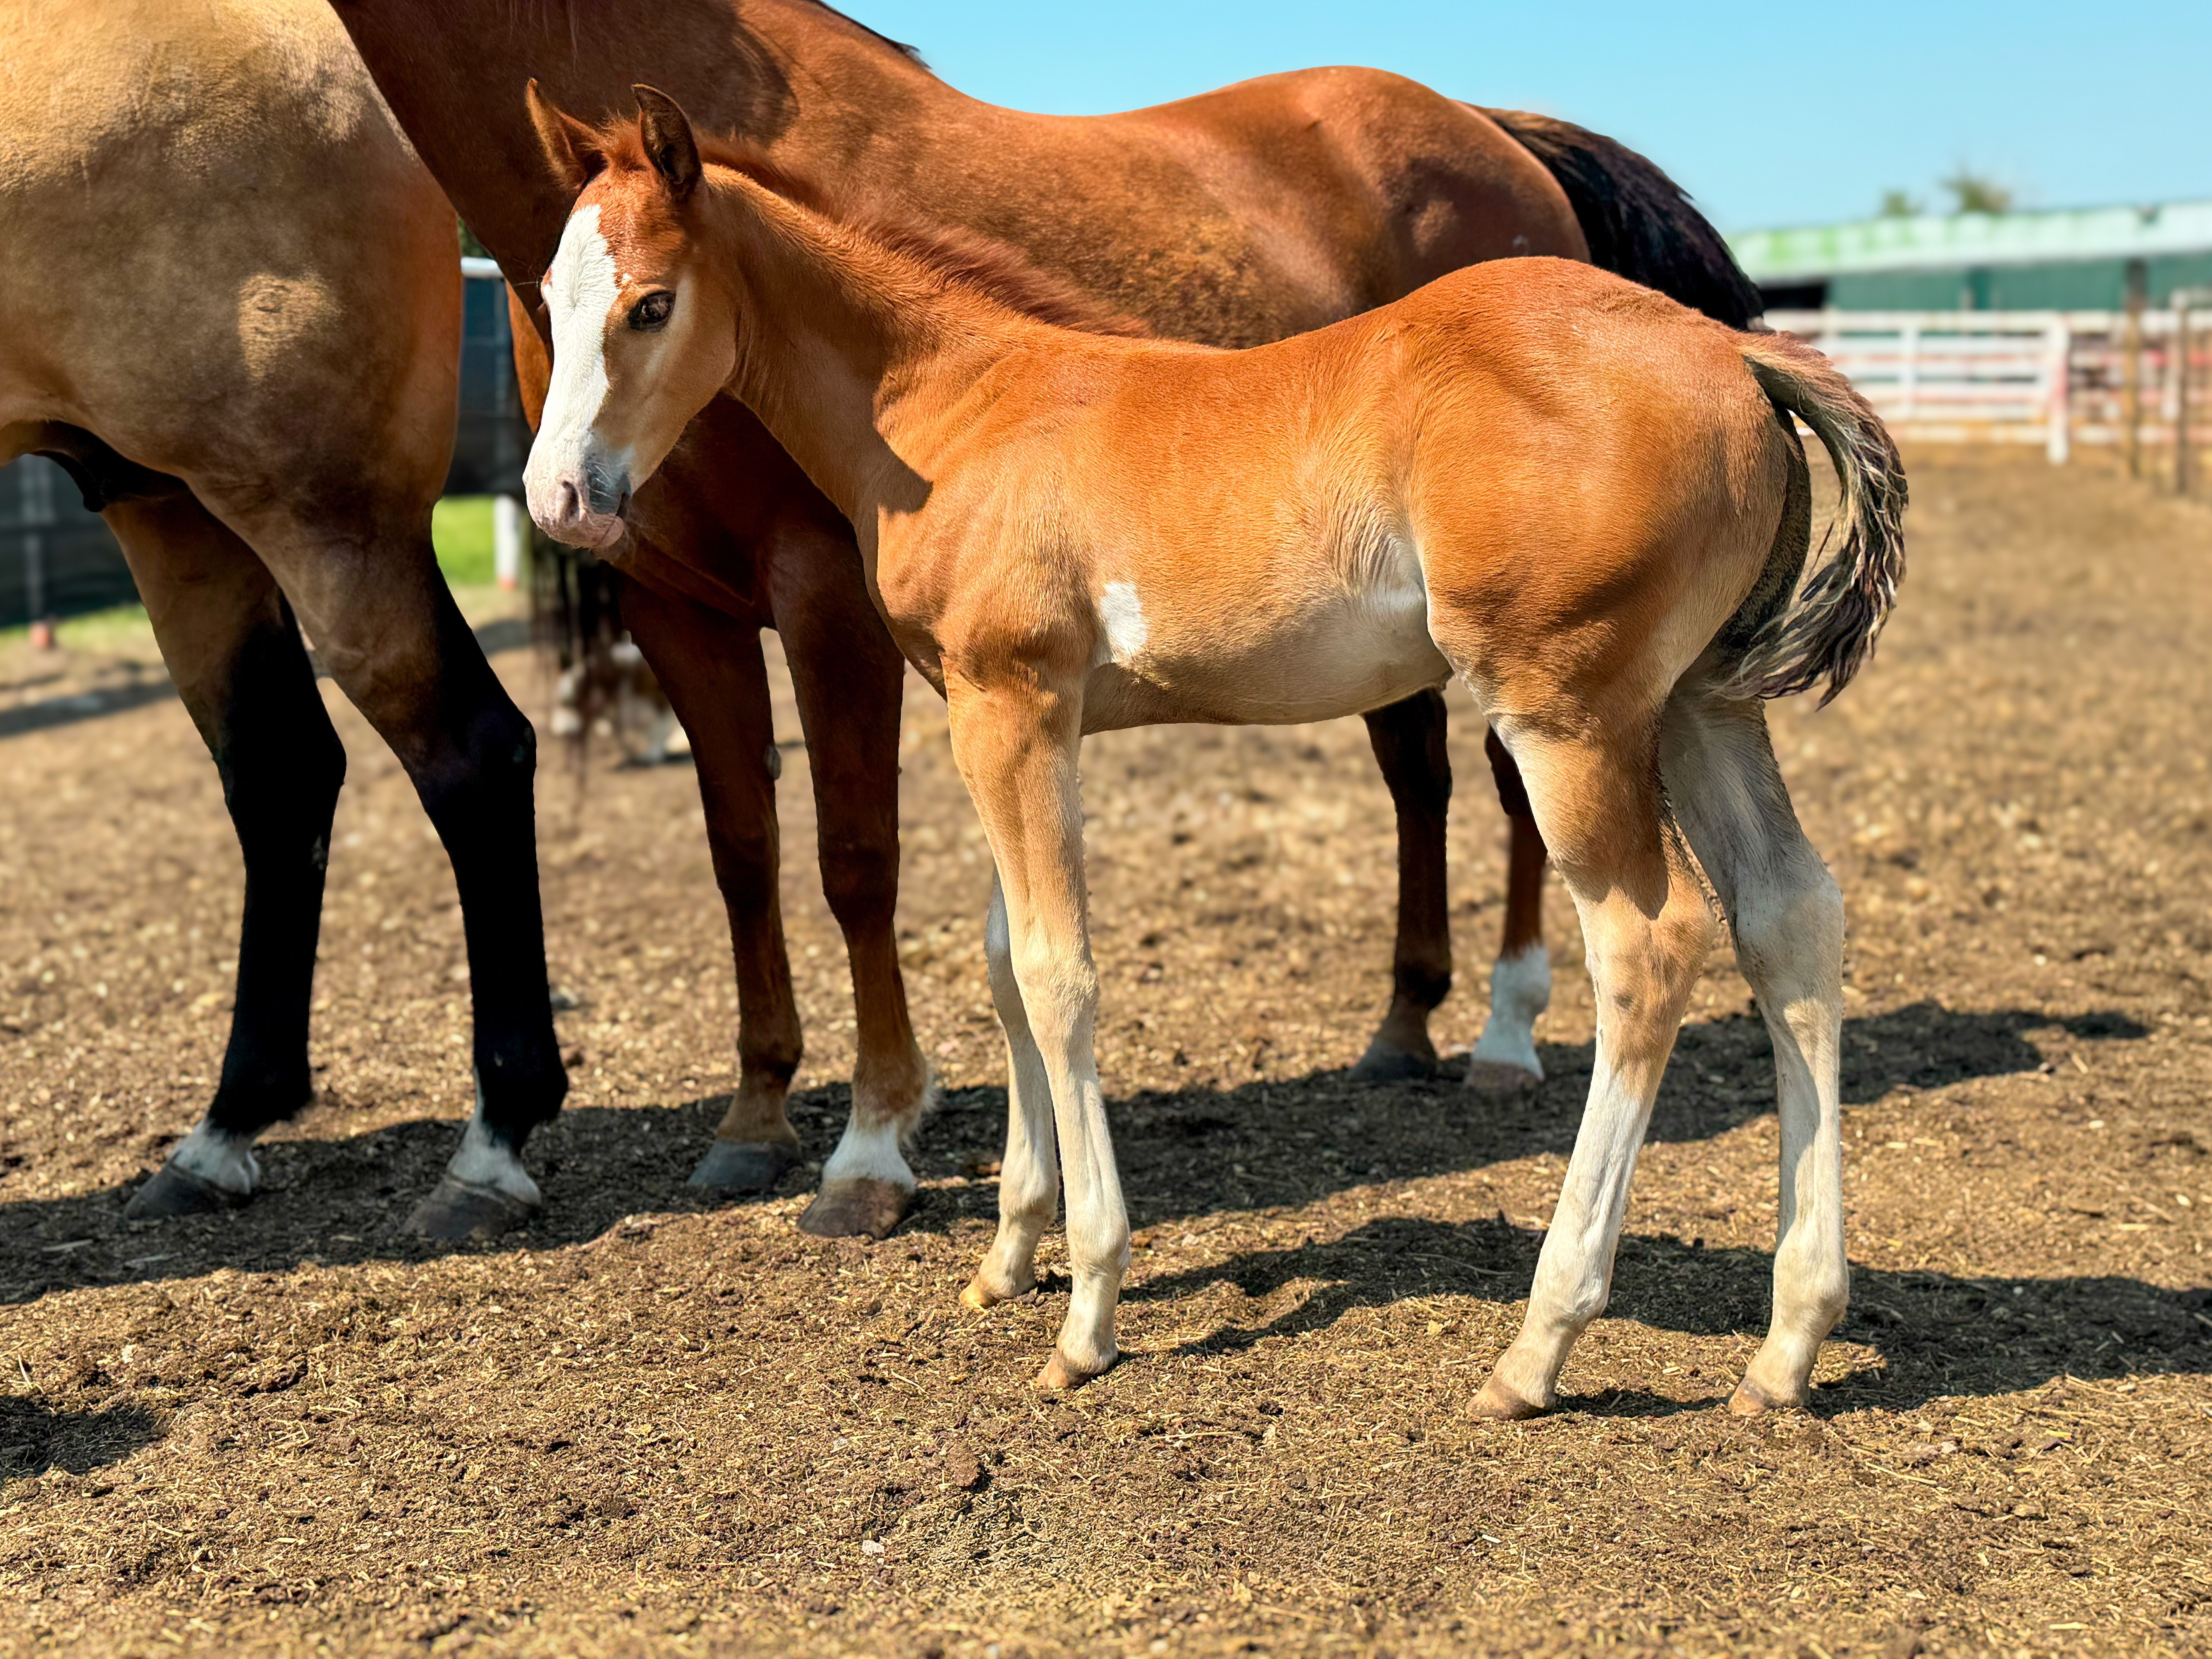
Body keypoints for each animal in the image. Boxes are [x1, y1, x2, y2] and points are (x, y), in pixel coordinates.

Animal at [0, 0, 565, 1237]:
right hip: (175, 510)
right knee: (283, 772)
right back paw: (224, 1129)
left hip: (320, 517)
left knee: (471, 752)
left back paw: (493, 1143)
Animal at [329, 0, 1763, 1240]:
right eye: (548, 298)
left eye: (652, 304)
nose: (558, 496)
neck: (939, 386)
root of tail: (1499, 130)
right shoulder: (689, 611)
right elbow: (764, 857)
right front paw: (763, 1120)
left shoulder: (847, 615)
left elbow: (867, 867)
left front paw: (873, 1154)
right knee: (1422, 777)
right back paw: (1404, 1026)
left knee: (1524, 808)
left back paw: (1507, 1034)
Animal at [523, 90, 1906, 1411]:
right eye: (543, 296)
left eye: (651, 304)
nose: (558, 502)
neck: (958, 406)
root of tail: (1729, 350)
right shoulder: (1015, 718)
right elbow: (1003, 961)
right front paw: (1010, 1253)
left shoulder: (1008, 703)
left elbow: (1057, 972)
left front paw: (1087, 1314)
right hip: (1701, 702)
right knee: (1789, 917)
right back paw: (1787, 1346)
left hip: (1569, 714)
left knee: (1648, 945)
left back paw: (1537, 1346)